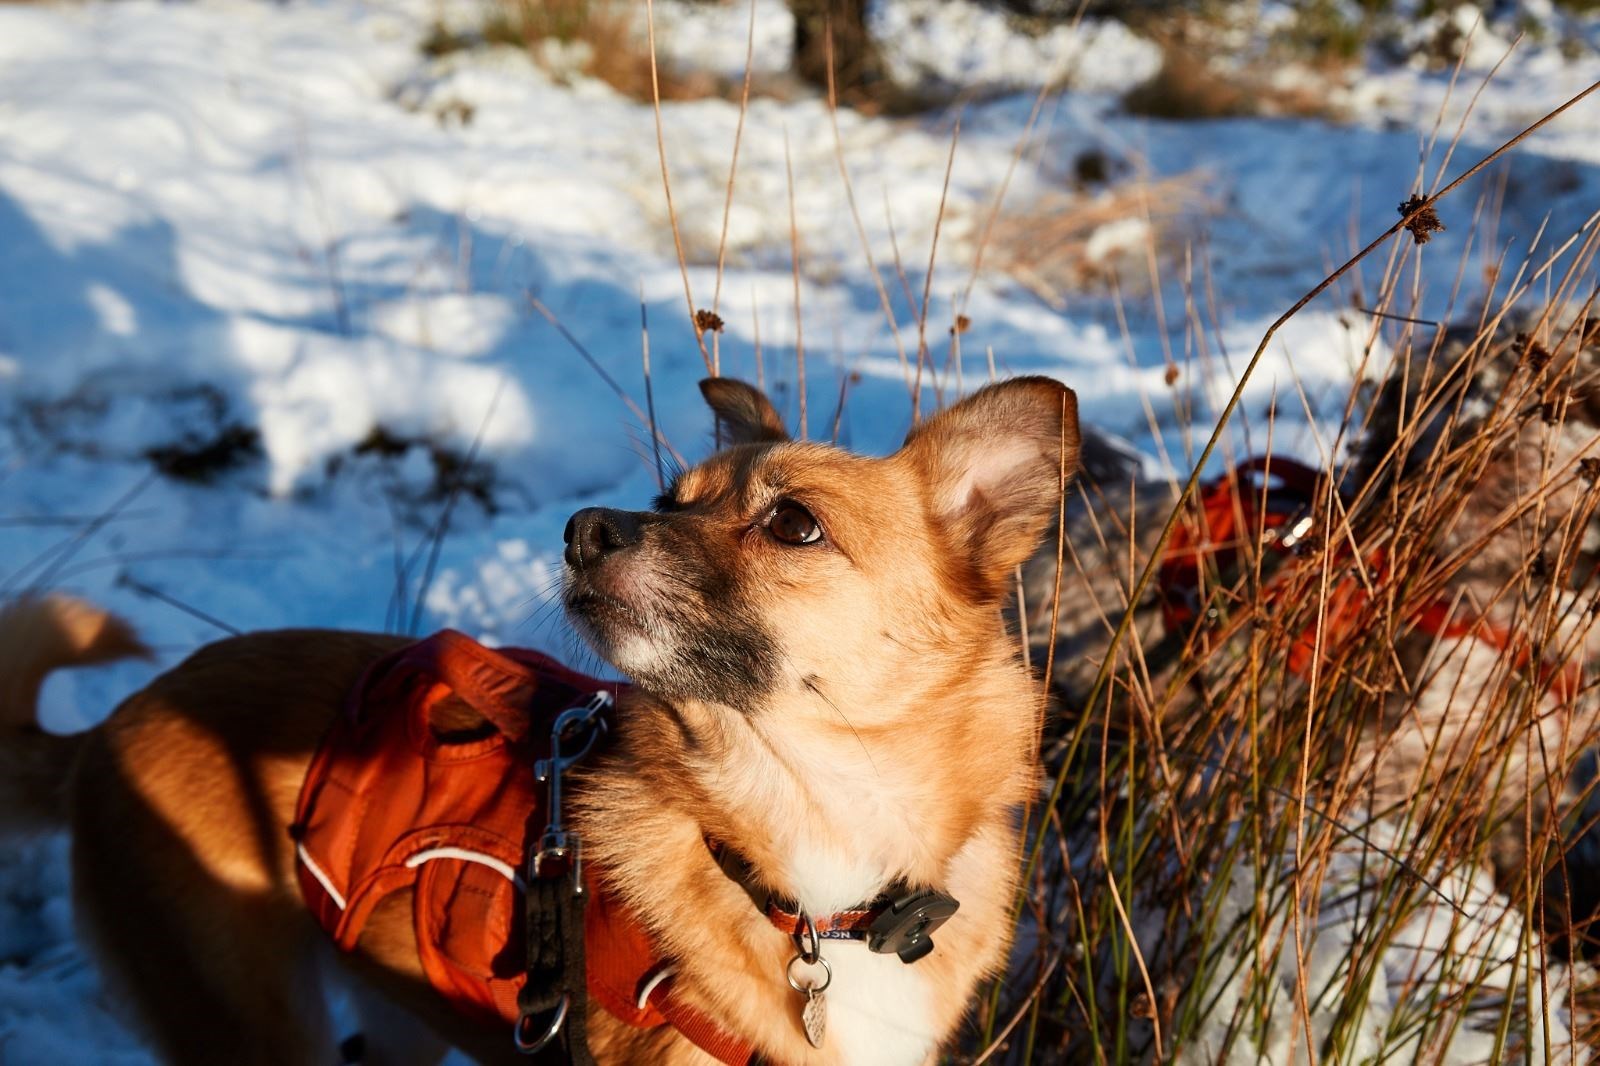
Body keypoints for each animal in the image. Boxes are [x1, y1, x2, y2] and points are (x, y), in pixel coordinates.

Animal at [0, 376, 1081, 1062]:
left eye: (794, 523)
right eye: (667, 498)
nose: (583, 530)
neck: (821, 890)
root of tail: (112, 726)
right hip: (251, 1026)